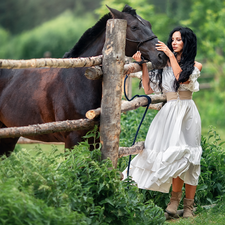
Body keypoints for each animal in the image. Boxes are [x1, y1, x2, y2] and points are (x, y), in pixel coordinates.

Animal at [0, 5, 167, 156]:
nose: (162, 56)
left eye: (149, 24)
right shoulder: (73, 139)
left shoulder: (94, 139)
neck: (78, 82)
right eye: (134, 27)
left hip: (9, 136)